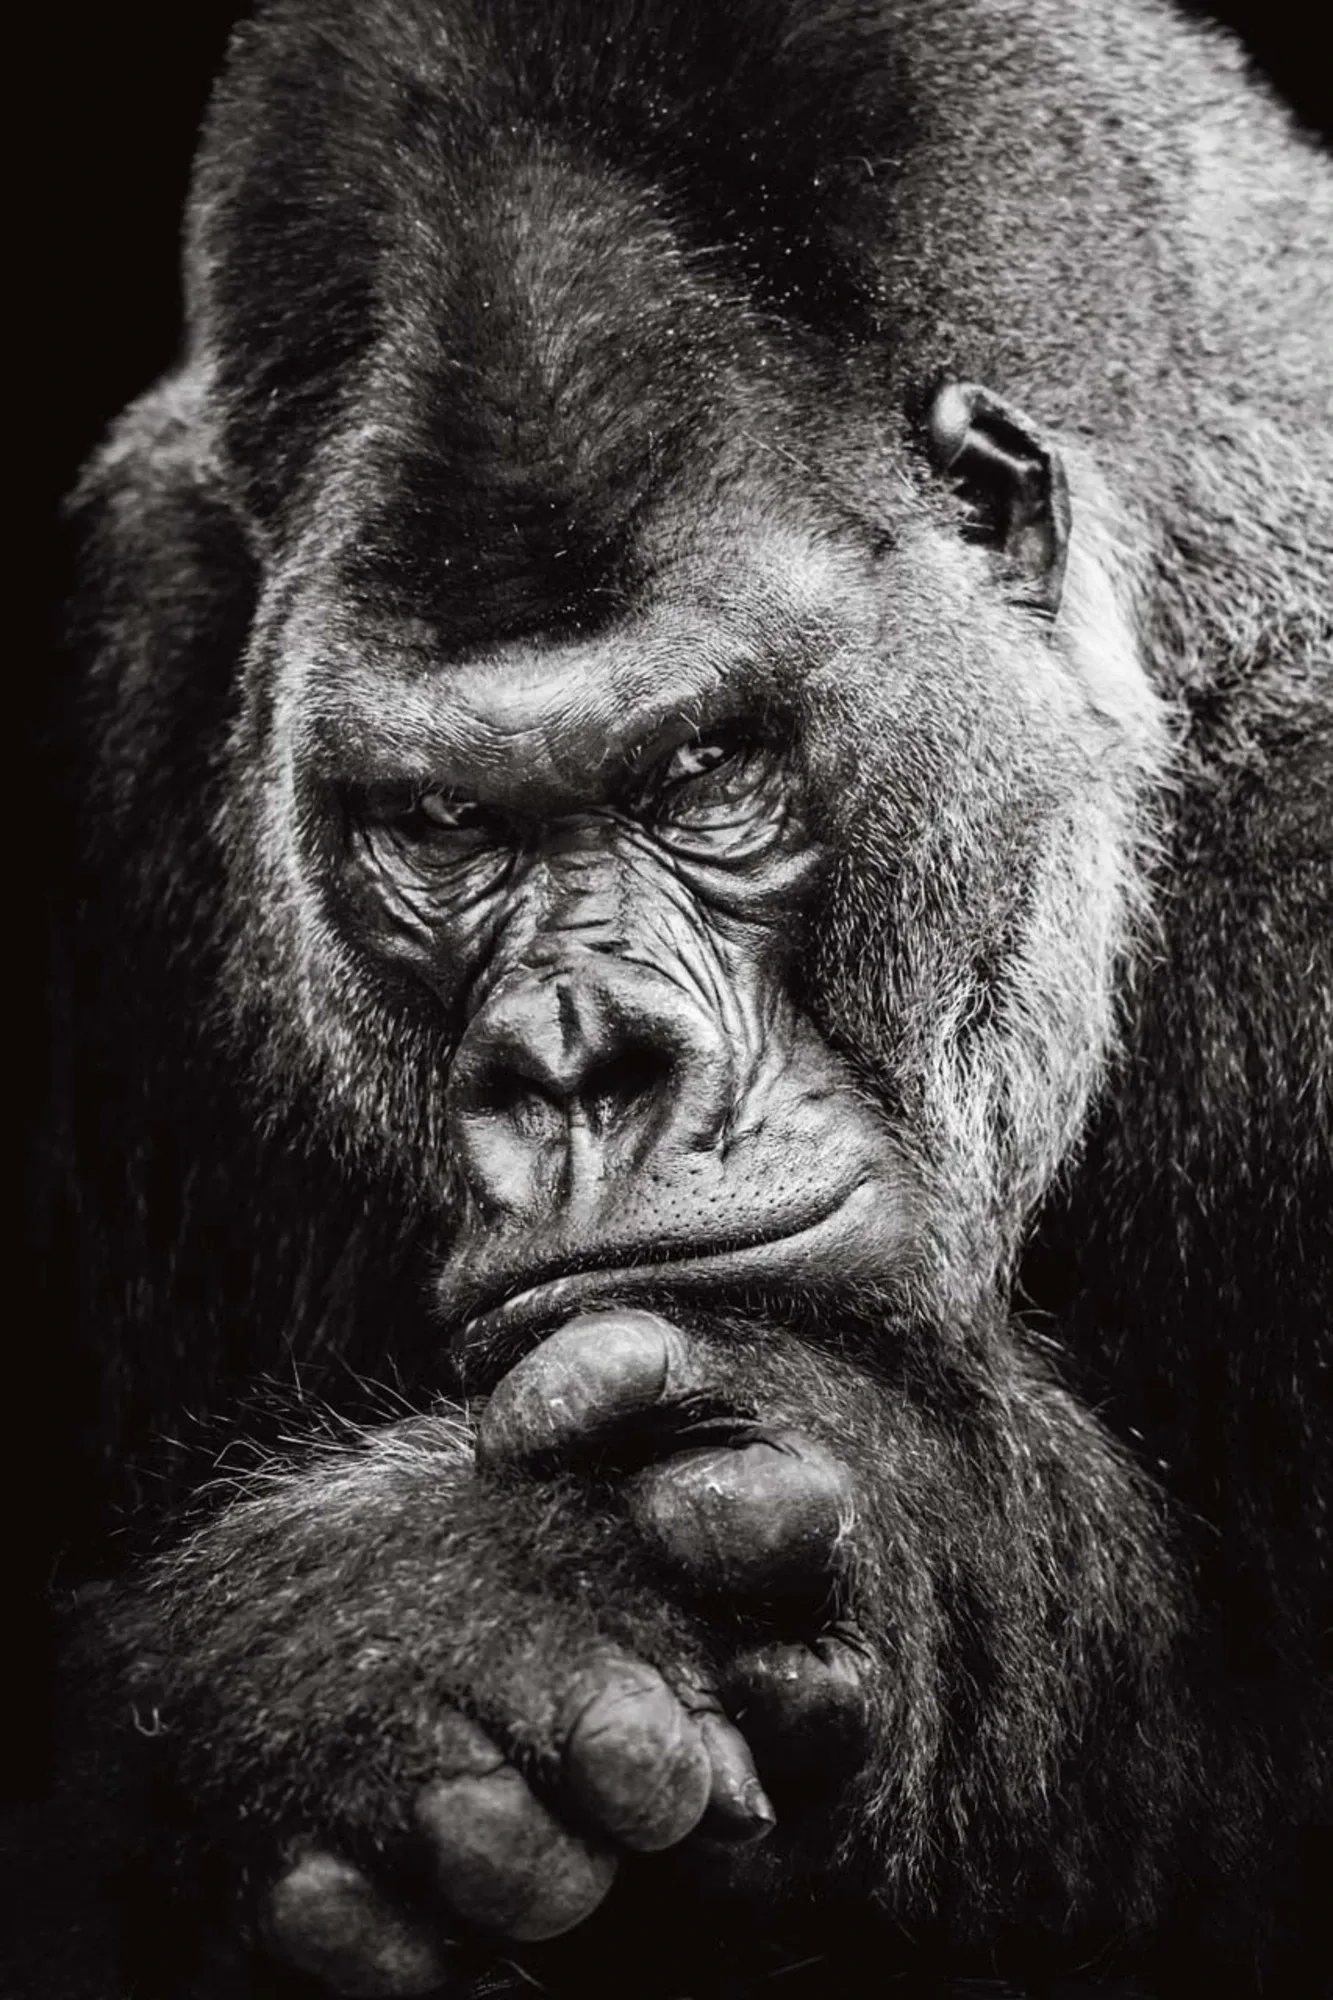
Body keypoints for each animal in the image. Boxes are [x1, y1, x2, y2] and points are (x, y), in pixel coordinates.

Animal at [23, 1, 1332, 1995]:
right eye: (437, 825)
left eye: (706, 770)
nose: (576, 1058)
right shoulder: (139, 651)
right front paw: (378, 1651)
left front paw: (904, 1520)